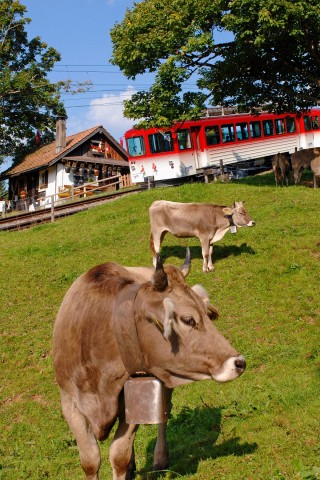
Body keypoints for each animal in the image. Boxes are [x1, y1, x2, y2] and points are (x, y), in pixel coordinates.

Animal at [53, 253, 246, 478]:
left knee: (163, 414)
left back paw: (160, 459)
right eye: (188, 320)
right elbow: (90, 461)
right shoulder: (69, 403)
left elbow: (118, 455)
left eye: (205, 313)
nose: (239, 362)